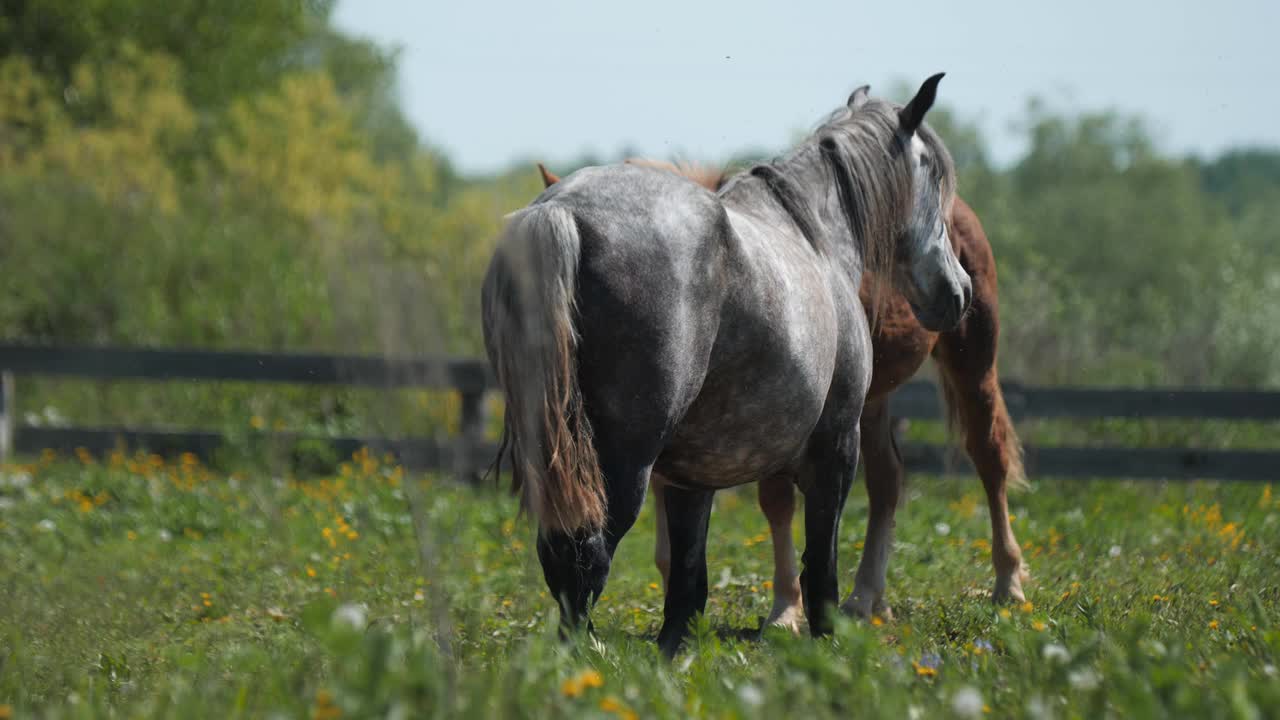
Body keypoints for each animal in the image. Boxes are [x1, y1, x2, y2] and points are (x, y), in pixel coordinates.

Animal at [483, 74, 962, 655]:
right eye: (933, 175)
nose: (957, 291)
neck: (815, 237)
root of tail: (561, 211)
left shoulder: (692, 477)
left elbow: (688, 578)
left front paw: (674, 653)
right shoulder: (837, 443)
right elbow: (820, 560)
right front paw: (826, 640)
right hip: (621, 463)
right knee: (586, 550)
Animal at [535, 158, 1024, 627]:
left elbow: (776, 502)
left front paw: (786, 608)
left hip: (971, 357)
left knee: (989, 455)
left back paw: (1008, 583)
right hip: (870, 403)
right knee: (888, 480)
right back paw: (869, 599)